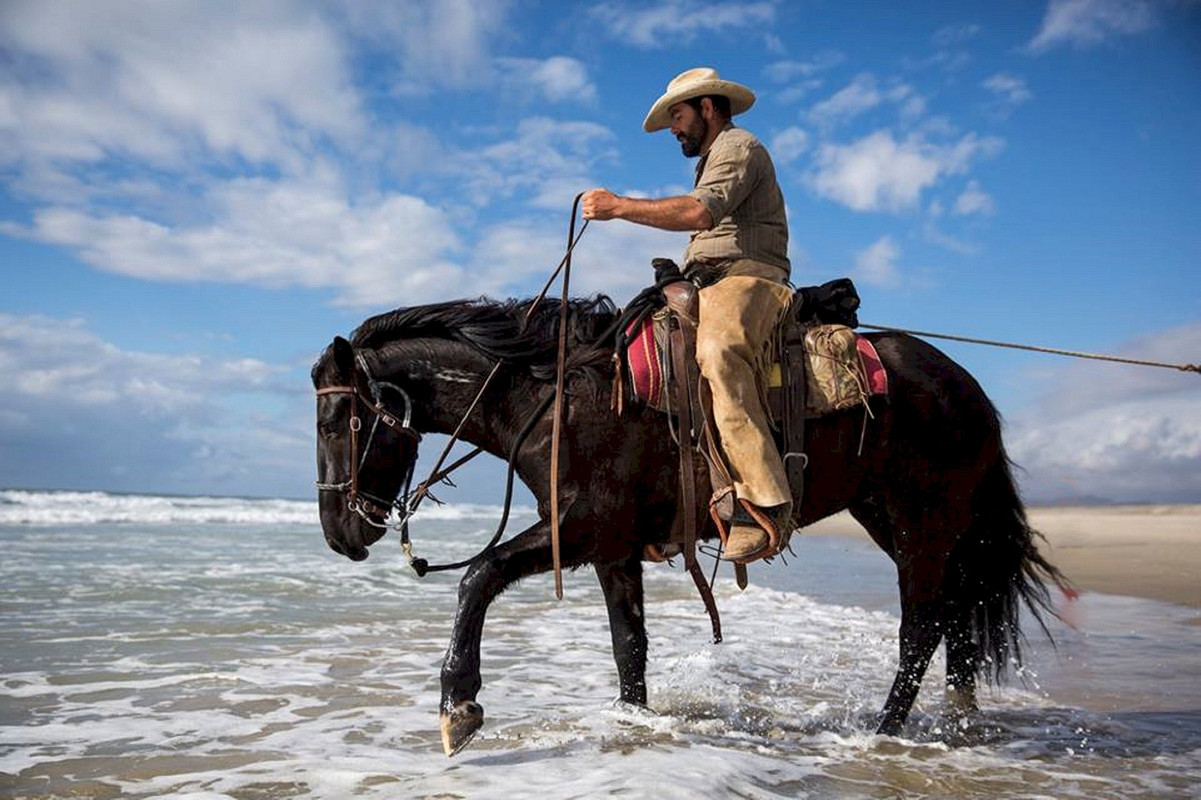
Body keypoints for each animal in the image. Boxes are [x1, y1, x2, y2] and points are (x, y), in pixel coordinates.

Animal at [312, 294, 1069, 757]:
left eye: (335, 420)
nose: (339, 534)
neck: (558, 396)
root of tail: (966, 386)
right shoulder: (611, 548)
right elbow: (629, 646)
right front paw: (634, 722)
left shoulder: (579, 526)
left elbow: (478, 575)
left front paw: (458, 707)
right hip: (894, 517)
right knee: (955, 617)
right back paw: (956, 723)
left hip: (922, 523)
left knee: (920, 628)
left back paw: (885, 733)